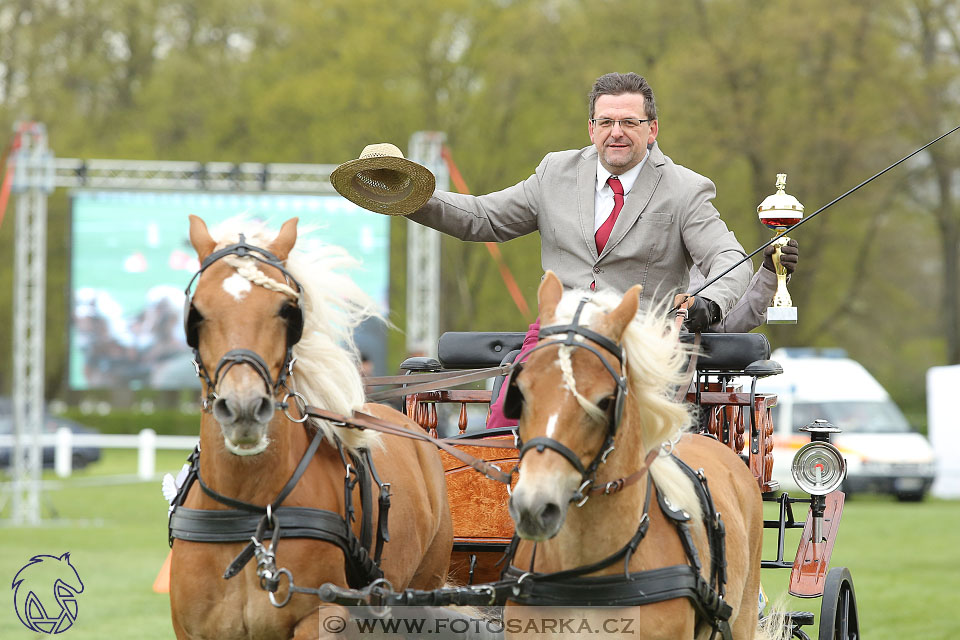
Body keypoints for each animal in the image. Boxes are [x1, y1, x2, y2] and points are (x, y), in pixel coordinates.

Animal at [170, 218, 454, 636]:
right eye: (197, 314)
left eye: (286, 311)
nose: (244, 408)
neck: (251, 513)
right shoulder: (193, 629)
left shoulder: (323, 614)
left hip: (424, 587)